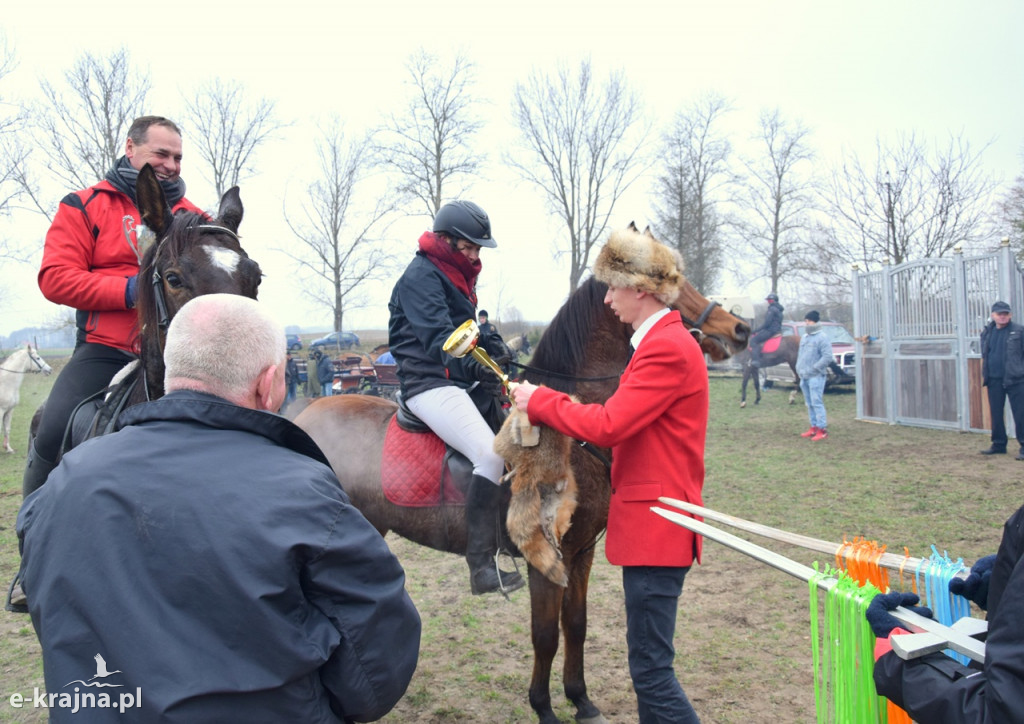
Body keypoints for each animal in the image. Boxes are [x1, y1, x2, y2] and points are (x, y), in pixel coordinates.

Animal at [292, 264, 749, 720]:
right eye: (672, 285)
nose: (740, 329)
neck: (569, 428)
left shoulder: (582, 552)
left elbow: (576, 625)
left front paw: (581, 699)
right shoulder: (543, 554)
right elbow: (545, 634)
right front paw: (543, 707)